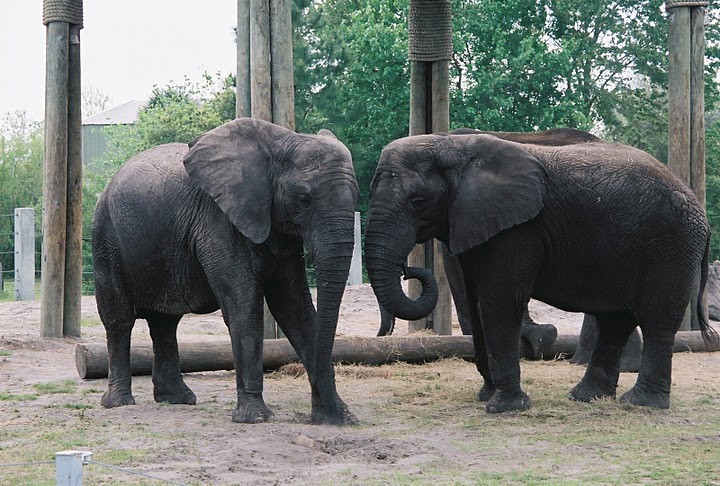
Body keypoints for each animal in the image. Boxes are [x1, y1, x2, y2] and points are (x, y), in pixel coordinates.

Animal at [92, 118, 360, 425]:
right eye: (303, 198)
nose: (317, 416)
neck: (280, 143)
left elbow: (296, 309)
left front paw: (341, 417)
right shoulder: (217, 221)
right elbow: (244, 307)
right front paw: (255, 418)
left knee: (165, 322)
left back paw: (177, 399)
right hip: (106, 236)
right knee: (119, 319)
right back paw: (119, 403)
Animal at [364, 128, 718, 413]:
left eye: (419, 202)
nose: (408, 268)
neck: (452, 147)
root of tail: (699, 209)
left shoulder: (518, 230)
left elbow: (498, 301)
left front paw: (502, 408)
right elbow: (475, 301)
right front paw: (486, 396)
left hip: (671, 244)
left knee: (656, 319)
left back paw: (641, 404)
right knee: (617, 320)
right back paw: (585, 397)